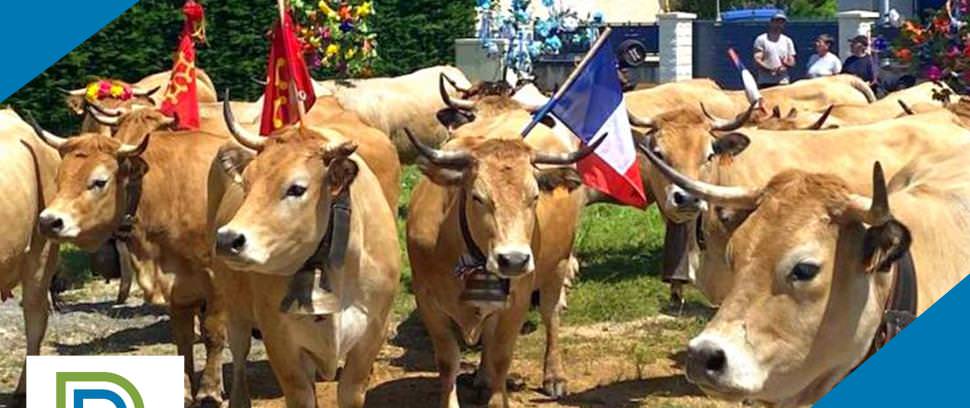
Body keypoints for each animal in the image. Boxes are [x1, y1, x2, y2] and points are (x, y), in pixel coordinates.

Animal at [29, 111, 230, 404]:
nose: (48, 221)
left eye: (99, 181)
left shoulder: (216, 280)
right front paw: (183, 390)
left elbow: (213, 333)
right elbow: (182, 337)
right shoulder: (177, 283)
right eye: (59, 179)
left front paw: (210, 390)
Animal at [208, 99, 400, 408]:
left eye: (297, 188)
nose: (227, 240)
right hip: (235, 306)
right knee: (238, 356)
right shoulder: (281, 340)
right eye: (246, 183)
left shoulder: (371, 335)